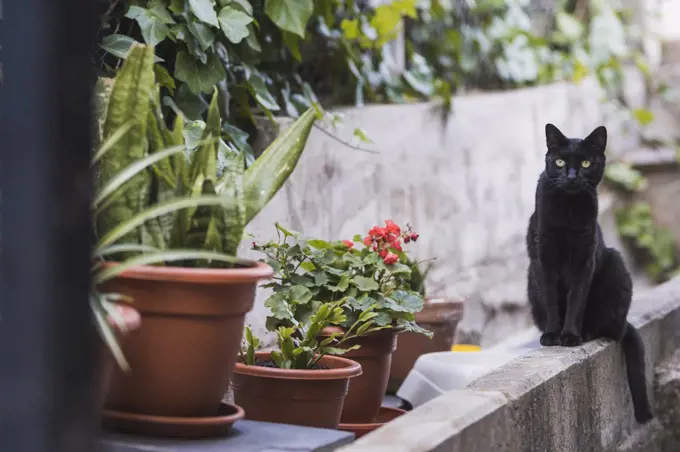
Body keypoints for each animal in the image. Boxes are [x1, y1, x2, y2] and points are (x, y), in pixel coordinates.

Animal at [524, 122, 652, 424]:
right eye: (560, 162)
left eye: (585, 163)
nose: (572, 177)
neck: (568, 212)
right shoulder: (543, 258)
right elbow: (552, 300)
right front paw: (553, 335)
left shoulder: (585, 260)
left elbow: (575, 300)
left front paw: (570, 336)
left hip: (615, 262)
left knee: (610, 328)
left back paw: (587, 332)